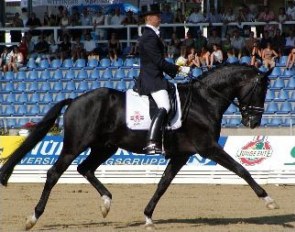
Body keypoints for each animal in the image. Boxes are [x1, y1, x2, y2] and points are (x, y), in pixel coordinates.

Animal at [0, 64, 278, 230]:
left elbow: (163, 184)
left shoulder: (182, 155)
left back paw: (106, 203)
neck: (204, 101)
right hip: (76, 144)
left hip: (106, 146)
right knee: (54, 173)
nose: (252, 122)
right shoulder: (208, 147)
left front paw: (148, 216)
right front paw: (269, 201)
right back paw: (33, 217)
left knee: (85, 169)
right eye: (261, 89)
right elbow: (242, 170)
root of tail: (75, 99)